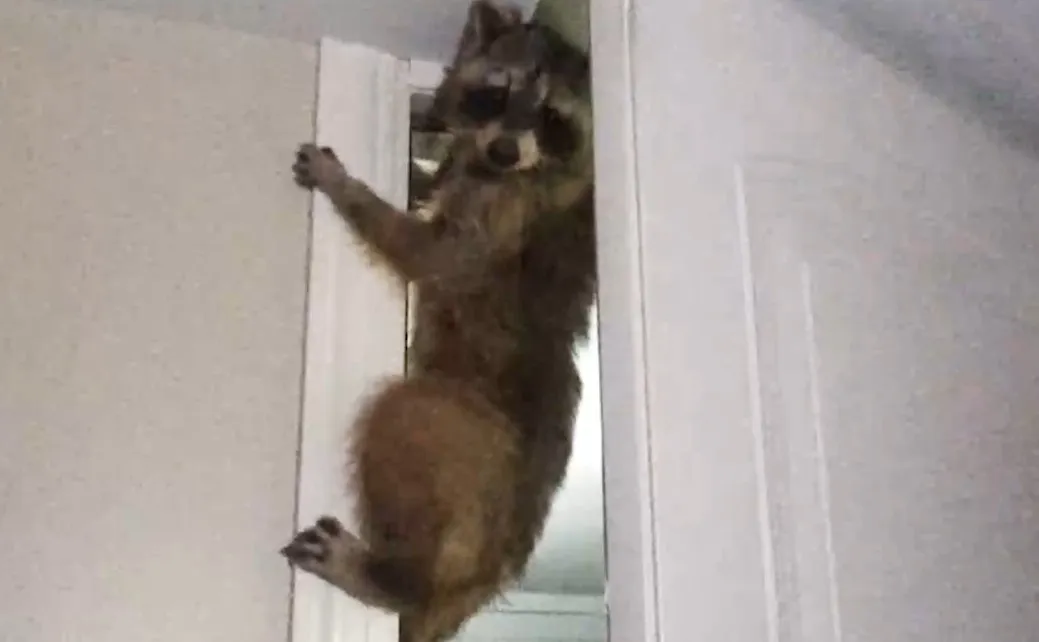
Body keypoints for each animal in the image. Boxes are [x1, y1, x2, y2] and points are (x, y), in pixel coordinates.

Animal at [281, 3, 596, 641]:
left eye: (551, 116)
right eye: (496, 93)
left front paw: (351, 191)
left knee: (401, 410)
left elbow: (431, 255)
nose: (504, 151)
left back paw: (388, 578)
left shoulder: (504, 212)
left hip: (464, 440)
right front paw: (419, 165)